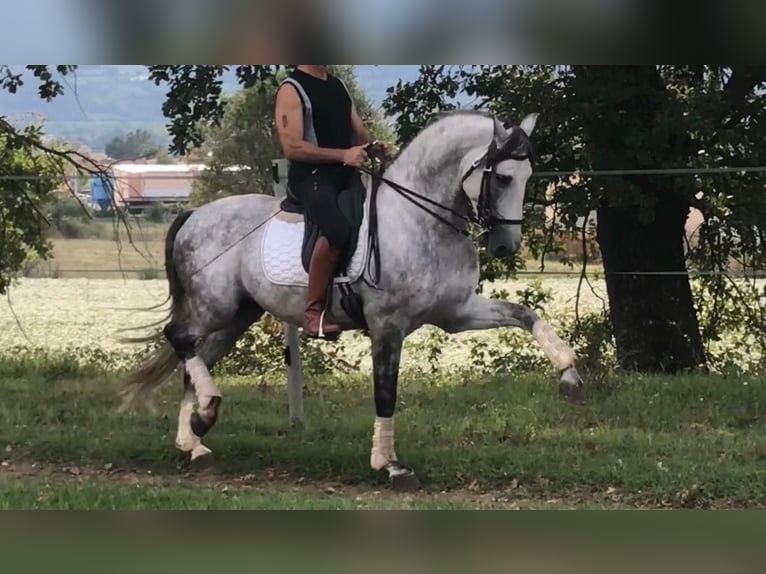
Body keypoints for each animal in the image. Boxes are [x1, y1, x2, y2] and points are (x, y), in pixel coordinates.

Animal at [121, 110, 588, 492]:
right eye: (505, 177)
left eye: (529, 176)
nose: (507, 246)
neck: (423, 220)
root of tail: (195, 214)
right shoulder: (387, 325)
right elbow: (386, 393)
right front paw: (391, 466)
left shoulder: (456, 314)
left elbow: (525, 315)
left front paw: (569, 376)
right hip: (212, 305)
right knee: (180, 337)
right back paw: (204, 416)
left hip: (236, 316)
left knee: (195, 358)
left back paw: (195, 439)